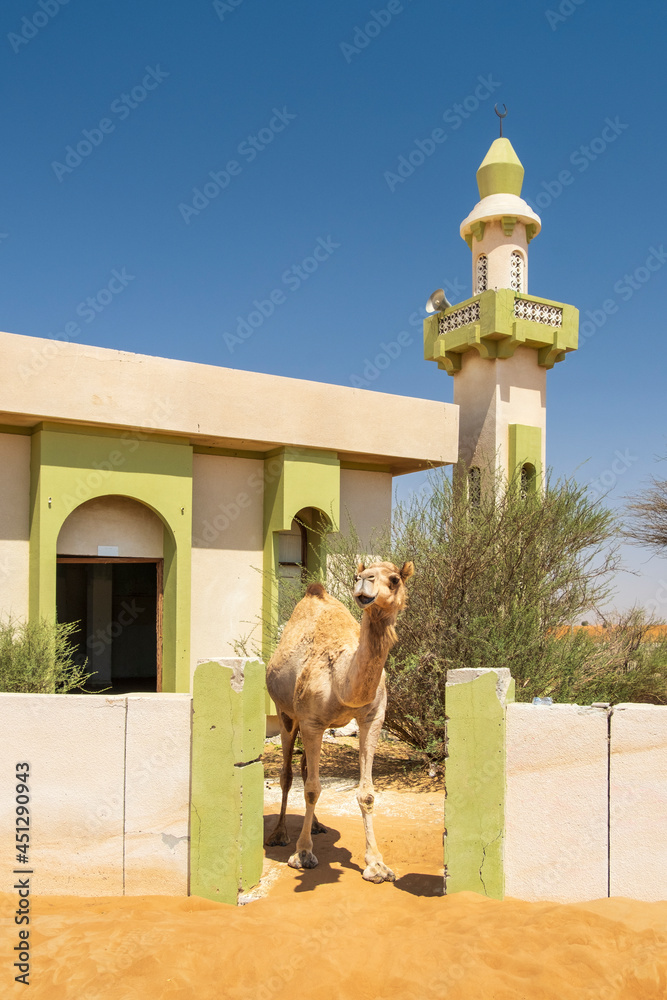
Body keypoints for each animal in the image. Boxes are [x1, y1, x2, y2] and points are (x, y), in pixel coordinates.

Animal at [265, 559, 414, 882]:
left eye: (394, 579)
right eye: (358, 575)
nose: (363, 581)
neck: (342, 679)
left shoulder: (373, 718)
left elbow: (367, 793)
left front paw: (377, 865)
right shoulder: (310, 721)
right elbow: (310, 788)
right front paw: (303, 854)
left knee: (305, 769)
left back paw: (317, 825)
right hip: (285, 713)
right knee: (287, 775)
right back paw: (279, 834)